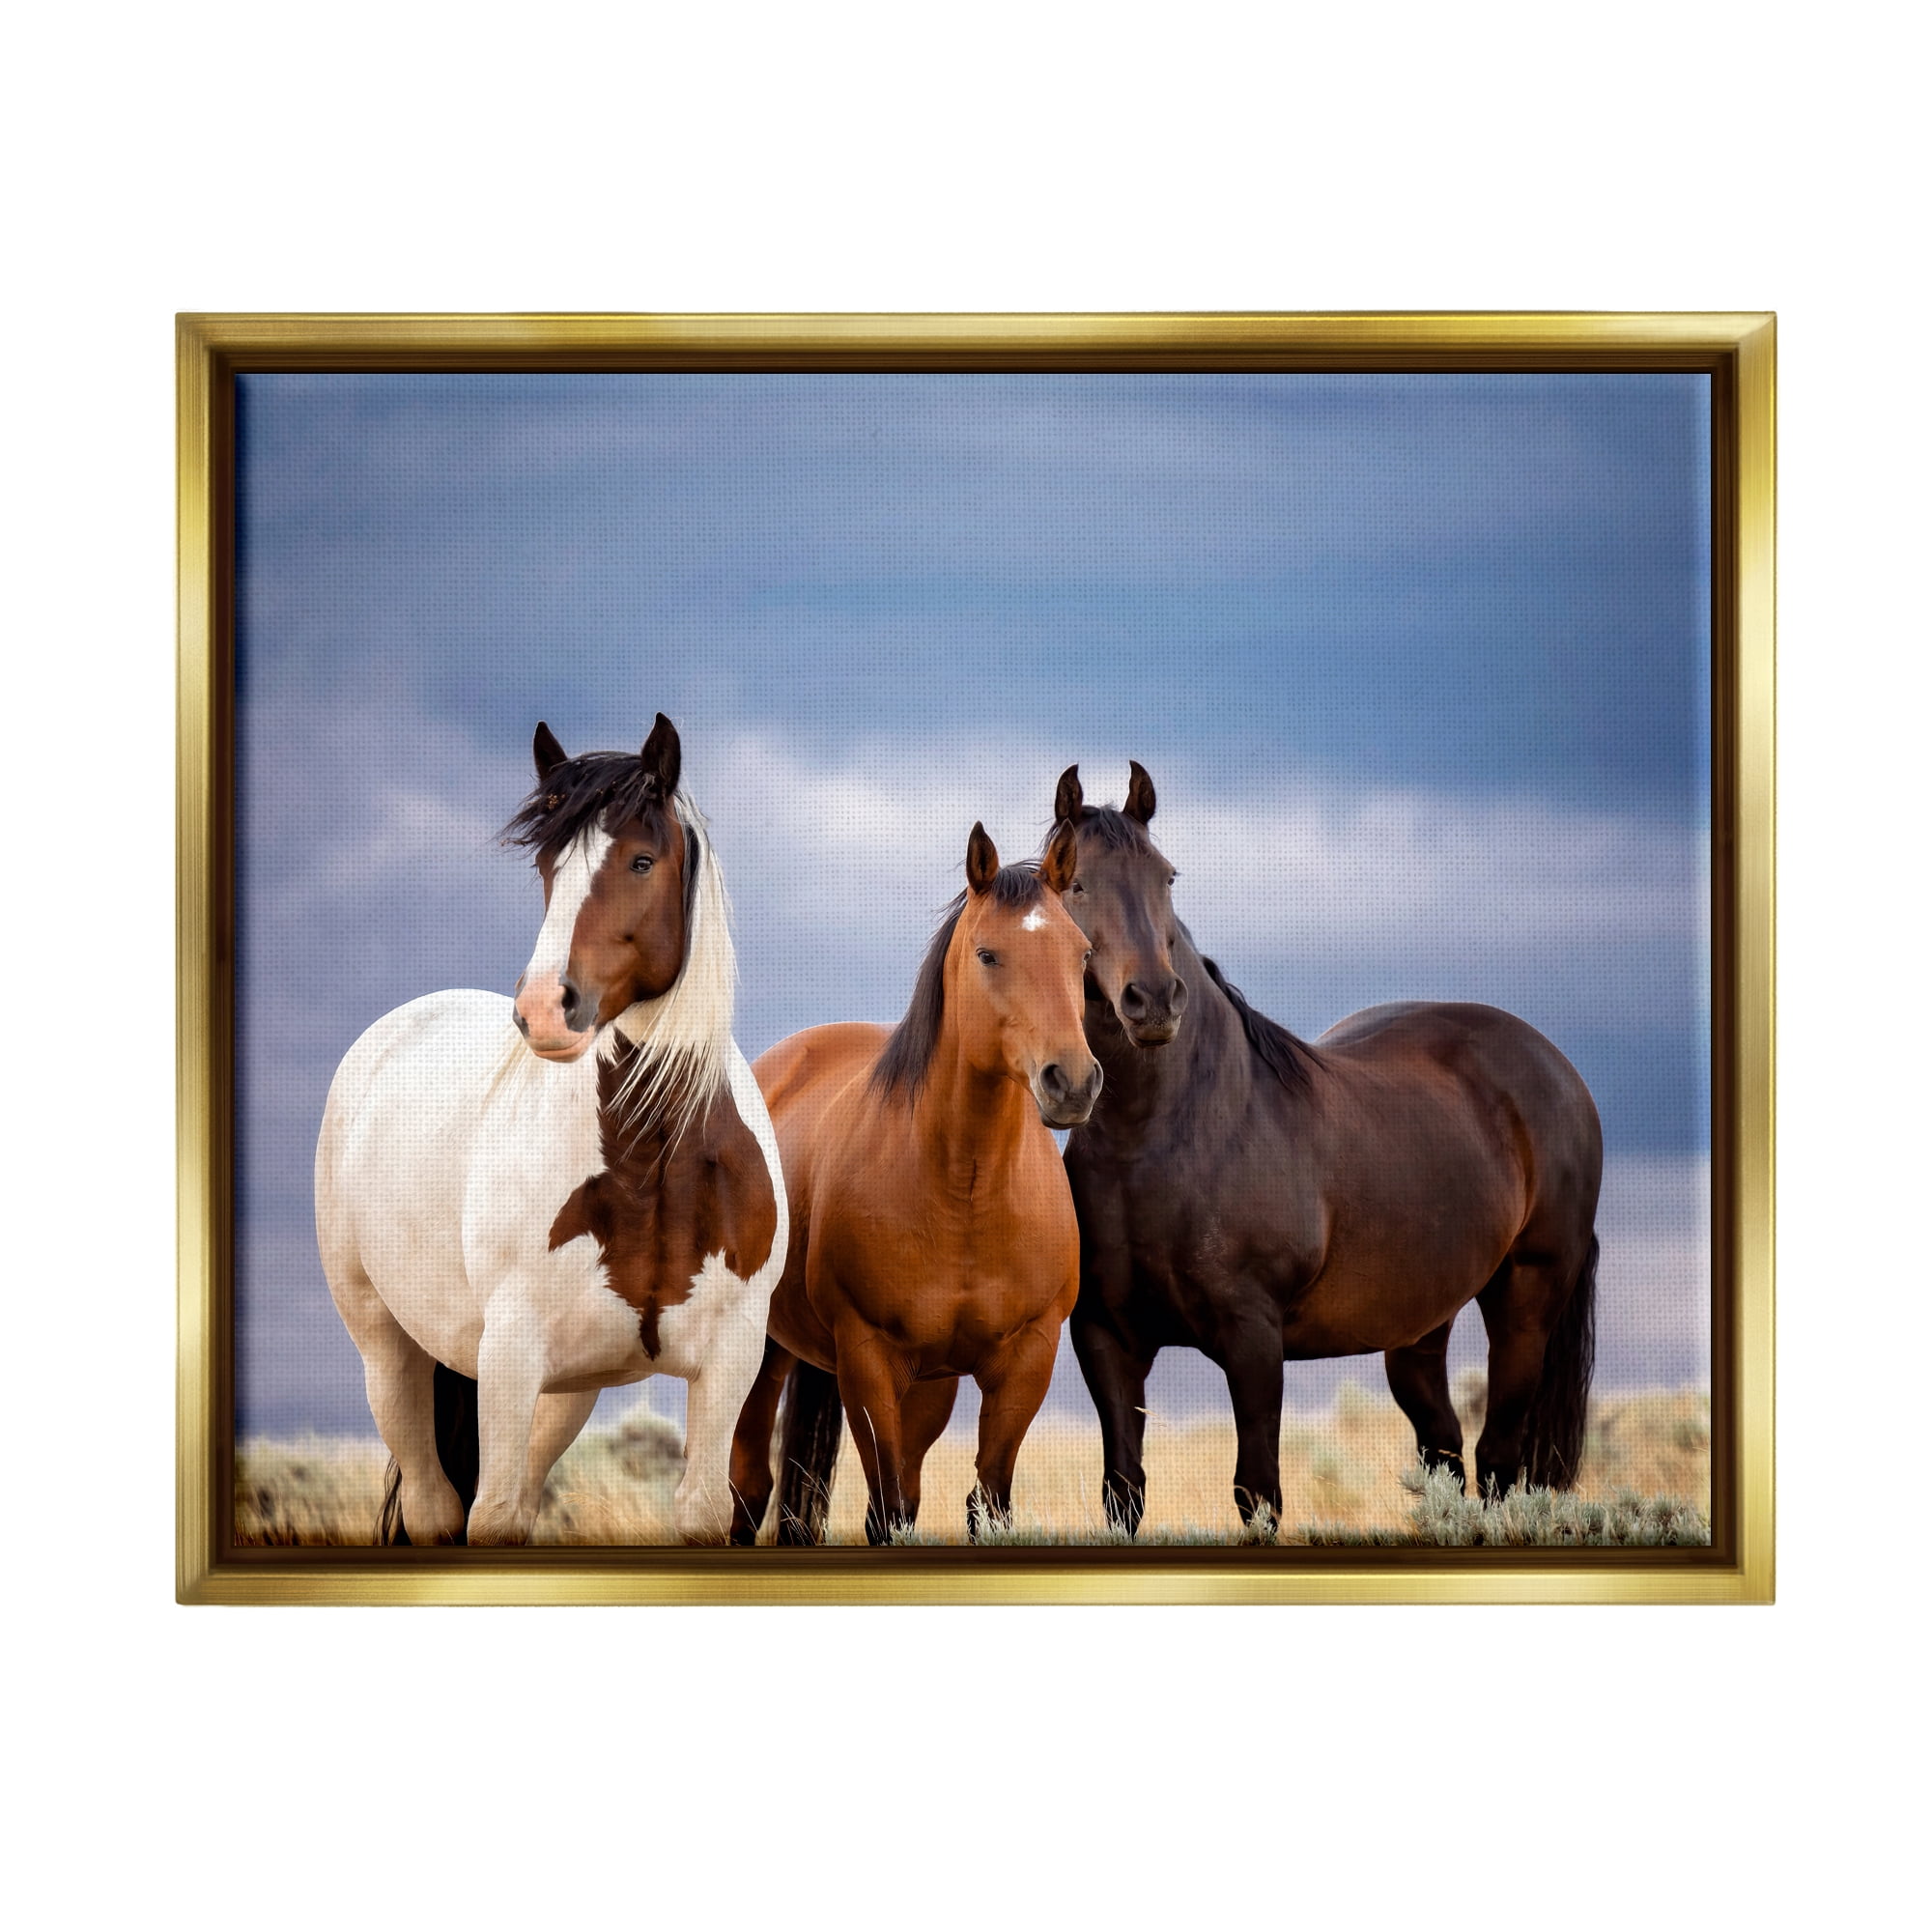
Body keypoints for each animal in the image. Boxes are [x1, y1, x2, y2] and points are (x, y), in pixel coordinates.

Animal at [314, 715, 786, 1546]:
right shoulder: (509, 1355)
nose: (541, 1009)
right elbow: (494, 1515)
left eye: (641, 860)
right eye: (546, 864)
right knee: (437, 1508)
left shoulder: (730, 1360)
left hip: (565, 1393)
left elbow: (702, 1509)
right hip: (391, 1353)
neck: (651, 1163)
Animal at [726, 819, 1101, 1546]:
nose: (1071, 1081)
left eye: (1082, 953)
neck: (965, 1192)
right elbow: (886, 1508)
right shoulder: (868, 1359)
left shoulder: (1026, 1360)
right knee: (750, 1488)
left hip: (925, 1383)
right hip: (761, 1351)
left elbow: (985, 1501)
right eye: (988, 955)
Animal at [1051, 763, 1602, 1534]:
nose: (1154, 1001)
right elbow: (1123, 1491)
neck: (1162, 1139)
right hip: (1419, 1325)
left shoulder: (1253, 1340)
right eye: (1073, 883)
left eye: (1167, 877)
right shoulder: (1107, 1338)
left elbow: (1257, 1492)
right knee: (1444, 1453)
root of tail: (1556, 1069)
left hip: (1526, 1297)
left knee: (1497, 1461)